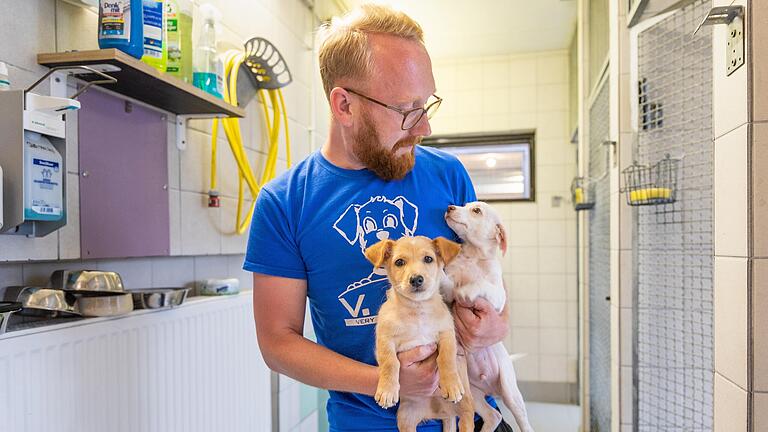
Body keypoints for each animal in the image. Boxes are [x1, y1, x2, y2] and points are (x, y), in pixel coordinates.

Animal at [364, 236, 474, 432]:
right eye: (399, 262)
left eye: (428, 259)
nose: (416, 279)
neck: (417, 310)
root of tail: (440, 413)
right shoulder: (384, 339)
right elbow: (390, 362)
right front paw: (387, 390)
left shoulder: (447, 334)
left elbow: (446, 358)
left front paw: (451, 384)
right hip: (406, 418)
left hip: (466, 408)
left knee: (467, 419)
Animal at [440, 202, 536, 432]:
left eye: (476, 210)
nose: (449, 207)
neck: (473, 256)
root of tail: (490, 388)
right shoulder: (449, 289)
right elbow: (448, 283)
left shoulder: (498, 297)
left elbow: (481, 285)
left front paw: (468, 291)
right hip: (471, 392)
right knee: (493, 415)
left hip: (510, 391)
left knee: (522, 421)